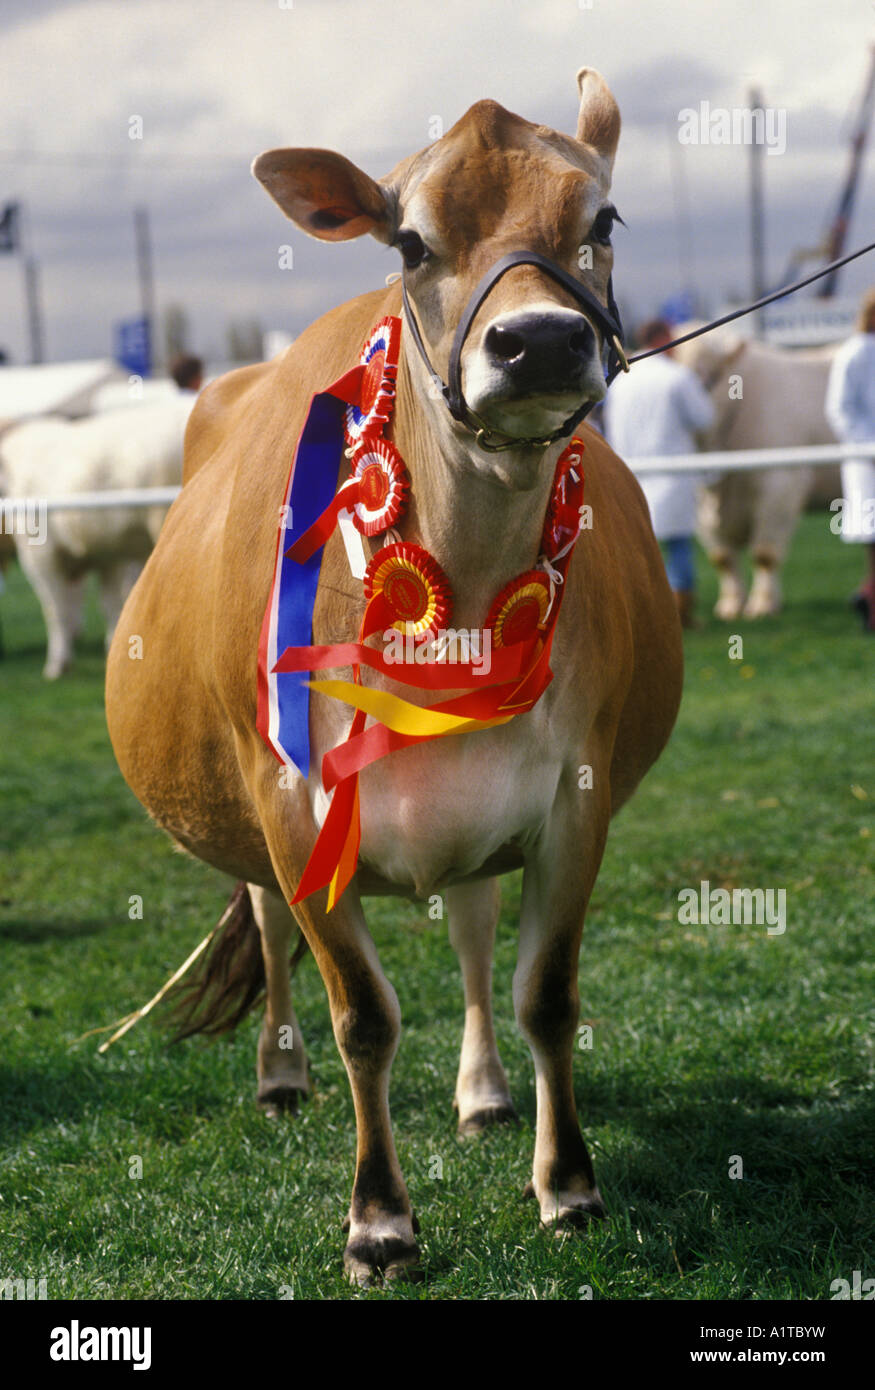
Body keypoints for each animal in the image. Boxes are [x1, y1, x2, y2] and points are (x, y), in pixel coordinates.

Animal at [673, 328, 834, 617]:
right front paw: (730, 606)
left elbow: (765, 554)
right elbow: (723, 559)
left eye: (713, 375)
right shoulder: (698, 507)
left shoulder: (781, 485)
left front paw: (763, 605)